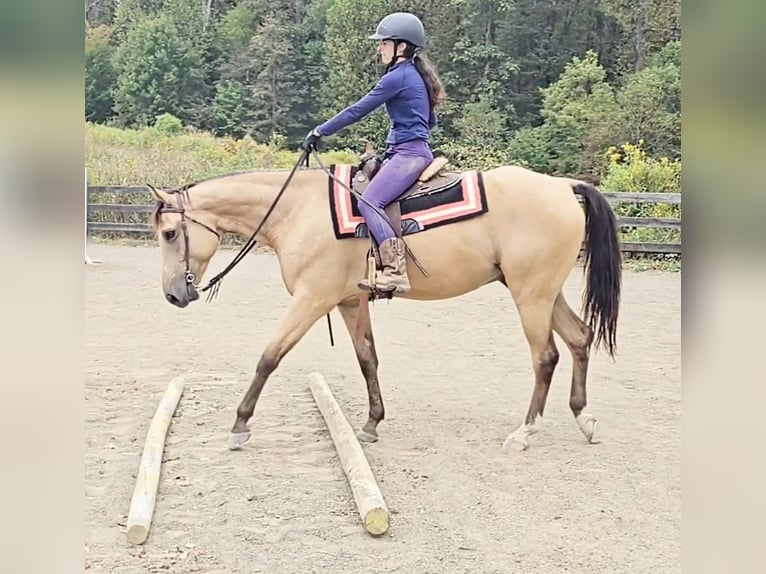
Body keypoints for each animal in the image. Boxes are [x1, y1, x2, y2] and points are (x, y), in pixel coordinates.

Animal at [147, 151, 622, 452]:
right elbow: (367, 359)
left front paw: (240, 424)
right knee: (580, 339)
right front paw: (372, 423)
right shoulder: (350, 301)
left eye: (169, 234)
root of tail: (564, 187)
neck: (297, 211)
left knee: (546, 357)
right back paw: (585, 419)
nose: (173, 294)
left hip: (531, 294)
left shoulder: (312, 298)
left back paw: (524, 433)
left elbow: (269, 356)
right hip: (542, 291)